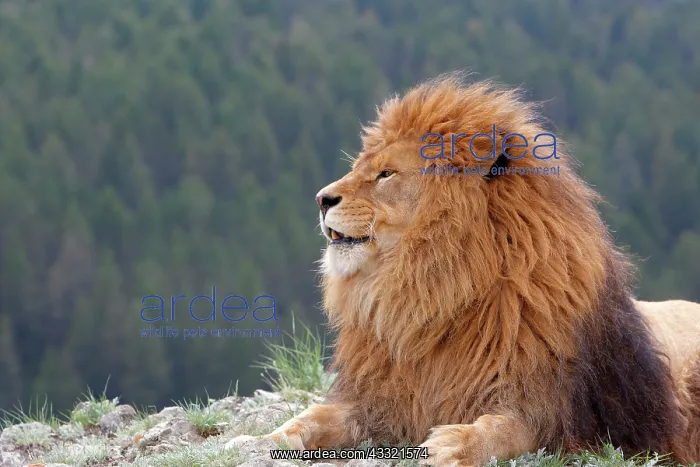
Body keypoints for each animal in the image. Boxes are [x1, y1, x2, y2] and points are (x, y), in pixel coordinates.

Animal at [227, 74, 700, 465]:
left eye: (386, 174)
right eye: (361, 168)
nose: (322, 199)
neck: (427, 295)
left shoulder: (560, 410)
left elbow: (509, 429)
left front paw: (455, 444)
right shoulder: (377, 399)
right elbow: (310, 417)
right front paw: (254, 441)